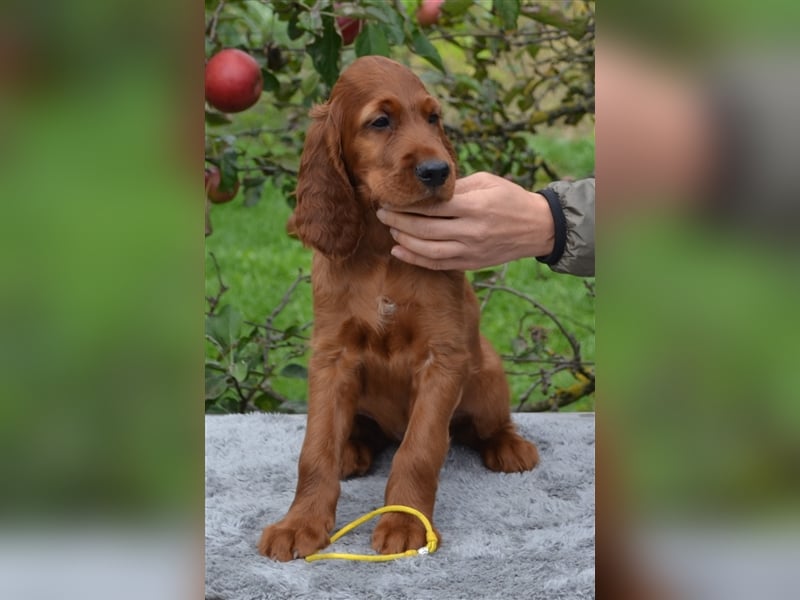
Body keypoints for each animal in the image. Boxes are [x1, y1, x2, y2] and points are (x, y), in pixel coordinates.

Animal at [260, 54, 540, 560]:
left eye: (433, 118)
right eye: (380, 121)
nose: (437, 170)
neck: (380, 248)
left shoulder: (443, 357)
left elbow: (421, 449)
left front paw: (405, 523)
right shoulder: (331, 356)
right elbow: (315, 449)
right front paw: (299, 523)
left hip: (487, 375)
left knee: (484, 426)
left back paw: (509, 447)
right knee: (361, 436)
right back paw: (352, 449)